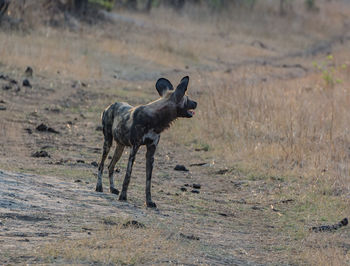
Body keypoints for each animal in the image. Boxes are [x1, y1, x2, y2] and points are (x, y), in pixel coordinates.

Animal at [95, 76, 197, 207]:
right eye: (188, 98)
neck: (155, 119)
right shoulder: (134, 148)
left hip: (120, 147)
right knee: (101, 164)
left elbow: (148, 181)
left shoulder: (151, 152)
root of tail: (109, 106)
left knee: (110, 166)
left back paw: (112, 189)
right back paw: (99, 187)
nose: (196, 103)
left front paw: (149, 201)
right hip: (108, 142)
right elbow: (128, 175)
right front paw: (123, 196)